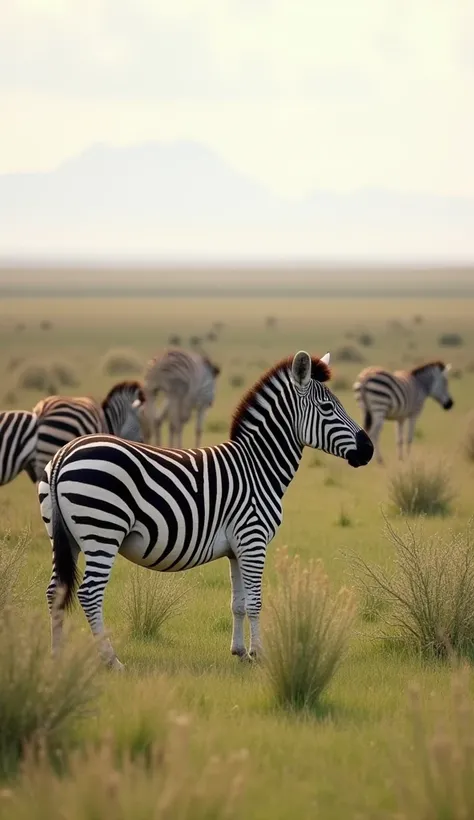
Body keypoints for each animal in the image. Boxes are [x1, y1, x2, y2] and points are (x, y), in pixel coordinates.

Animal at [38, 350, 374, 668]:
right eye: (328, 408)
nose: (369, 450)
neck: (258, 466)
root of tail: (64, 454)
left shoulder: (237, 548)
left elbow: (238, 603)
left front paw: (240, 653)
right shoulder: (253, 539)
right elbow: (255, 602)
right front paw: (260, 655)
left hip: (65, 537)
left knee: (56, 591)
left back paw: (56, 657)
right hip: (103, 530)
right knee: (89, 593)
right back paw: (111, 660)